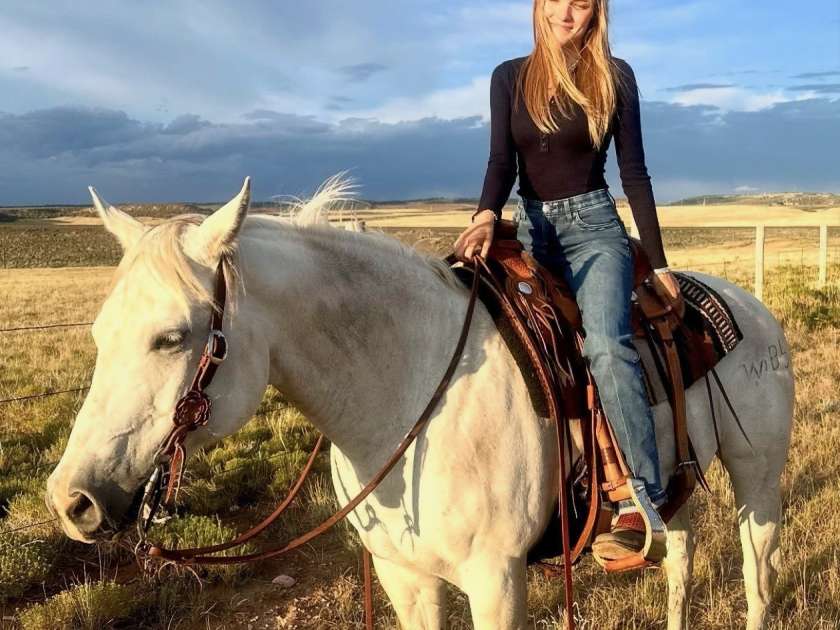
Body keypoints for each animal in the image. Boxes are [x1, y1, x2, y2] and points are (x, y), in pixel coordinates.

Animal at [46, 174, 794, 630]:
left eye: (172, 337)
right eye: (99, 334)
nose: (71, 500)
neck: (406, 395)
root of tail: (748, 306)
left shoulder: (498, 581)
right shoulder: (403, 576)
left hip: (758, 478)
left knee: (757, 570)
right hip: (675, 482)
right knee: (681, 560)